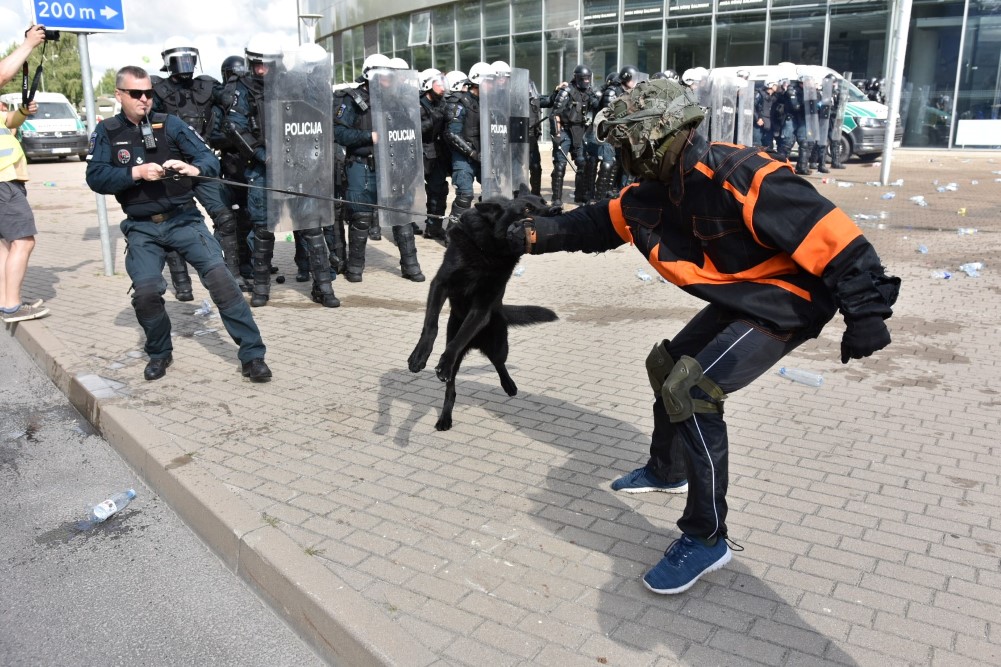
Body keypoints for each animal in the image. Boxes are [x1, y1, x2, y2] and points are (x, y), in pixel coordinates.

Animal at [408, 186, 559, 431]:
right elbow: (431, 325)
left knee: (499, 362)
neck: (489, 249)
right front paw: (419, 356)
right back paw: (445, 417)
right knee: (451, 390)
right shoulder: (440, 284)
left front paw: (444, 361)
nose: (557, 209)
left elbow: (459, 339)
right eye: (527, 209)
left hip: (499, 342)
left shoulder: (482, 306)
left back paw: (509, 385)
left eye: (543, 202)